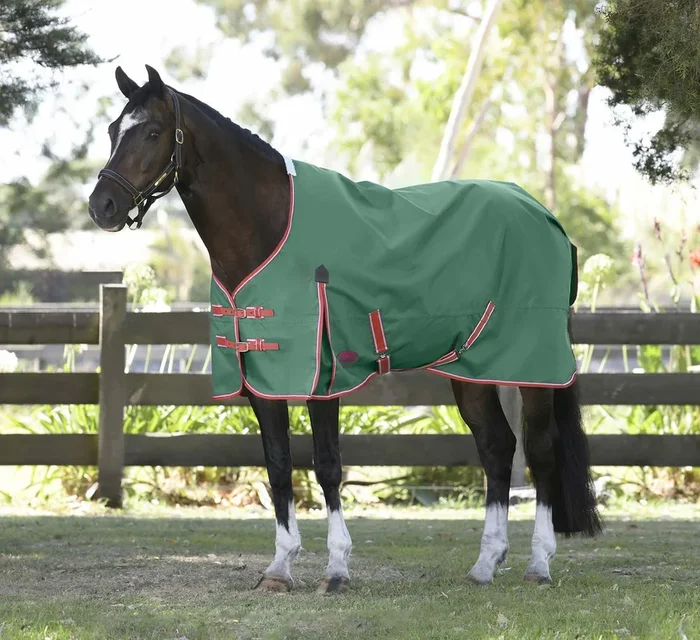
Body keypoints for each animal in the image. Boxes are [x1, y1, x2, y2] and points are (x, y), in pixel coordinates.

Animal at [88, 65, 601, 593]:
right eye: (112, 131)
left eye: (152, 132)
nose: (102, 205)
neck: (269, 230)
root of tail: (543, 214)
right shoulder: (262, 380)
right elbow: (278, 465)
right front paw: (279, 568)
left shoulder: (322, 378)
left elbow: (327, 467)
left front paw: (336, 569)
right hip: (471, 369)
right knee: (497, 448)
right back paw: (485, 564)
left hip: (532, 368)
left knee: (541, 453)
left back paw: (538, 564)